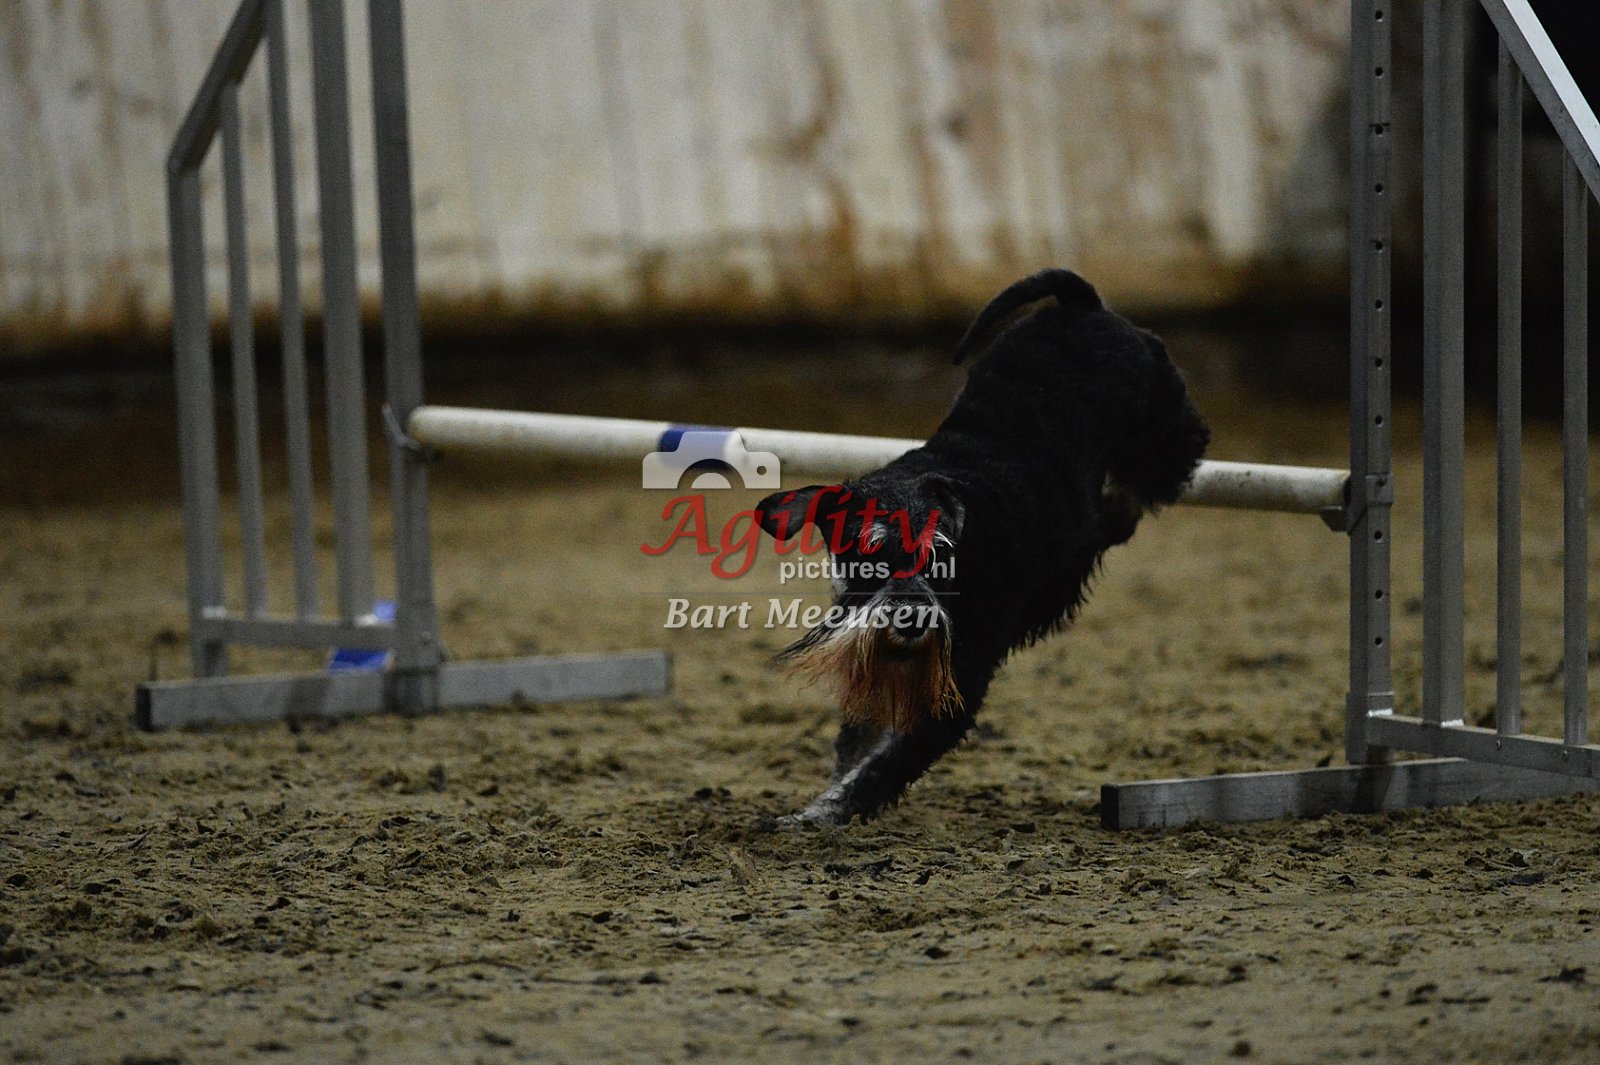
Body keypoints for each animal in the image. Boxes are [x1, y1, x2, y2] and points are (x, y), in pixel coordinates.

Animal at [753, 268, 1209, 827]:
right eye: (868, 553)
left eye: (937, 555)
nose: (911, 619)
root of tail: (1083, 304)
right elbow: (856, 746)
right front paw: (813, 809)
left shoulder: (960, 685)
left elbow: (883, 765)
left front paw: (823, 815)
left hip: (1162, 429)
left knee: (1158, 473)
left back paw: (1111, 511)